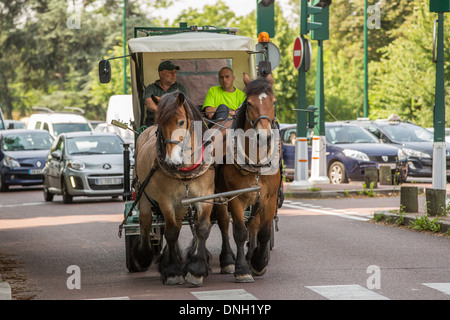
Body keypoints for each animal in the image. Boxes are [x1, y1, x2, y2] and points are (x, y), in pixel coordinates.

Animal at [131, 90, 215, 284]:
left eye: (181, 122)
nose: (172, 161)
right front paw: (173, 271)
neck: (186, 170)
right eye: (160, 124)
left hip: (182, 204)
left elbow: (202, 229)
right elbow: (170, 232)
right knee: (145, 222)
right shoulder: (165, 200)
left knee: (176, 224)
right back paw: (145, 256)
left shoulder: (205, 196)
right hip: (143, 194)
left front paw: (196, 269)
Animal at [214, 73, 282, 282]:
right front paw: (242, 269)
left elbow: (263, 232)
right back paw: (227, 260)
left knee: (254, 223)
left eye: (273, 102)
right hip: (219, 195)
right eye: (250, 103)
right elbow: (239, 232)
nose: (264, 136)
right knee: (222, 222)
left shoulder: (269, 197)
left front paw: (258, 262)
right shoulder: (236, 197)